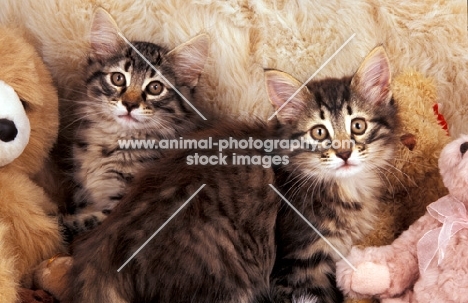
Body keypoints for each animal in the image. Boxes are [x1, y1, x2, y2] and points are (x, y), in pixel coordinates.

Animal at [61, 8, 208, 241]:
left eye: (155, 88)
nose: (130, 104)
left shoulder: (120, 206)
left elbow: (80, 223)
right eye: (118, 78)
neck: (114, 139)